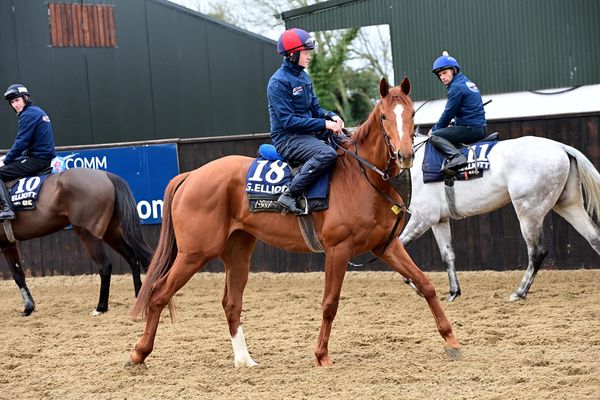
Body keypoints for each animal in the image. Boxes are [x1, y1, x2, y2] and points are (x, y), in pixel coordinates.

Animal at [3, 166, 152, 316]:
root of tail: (106, 175)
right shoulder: (8, 244)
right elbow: (18, 275)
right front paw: (29, 307)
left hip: (88, 233)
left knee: (105, 265)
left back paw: (100, 307)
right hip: (111, 232)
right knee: (132, 257)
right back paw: (138, 296)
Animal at [129, 76, 462, 368]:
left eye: (410, 113)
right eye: (383, 116)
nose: (405, 155)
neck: (362, 177)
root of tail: (191, 176)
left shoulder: (386, 246)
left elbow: (425, 285)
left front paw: (451, 340)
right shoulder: (338, 251)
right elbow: (330, 303)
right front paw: (322, 355)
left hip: (237, 252)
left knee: (231, 303)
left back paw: (244, 360)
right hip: (195, 253)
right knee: (158, 292)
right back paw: (139, 353)